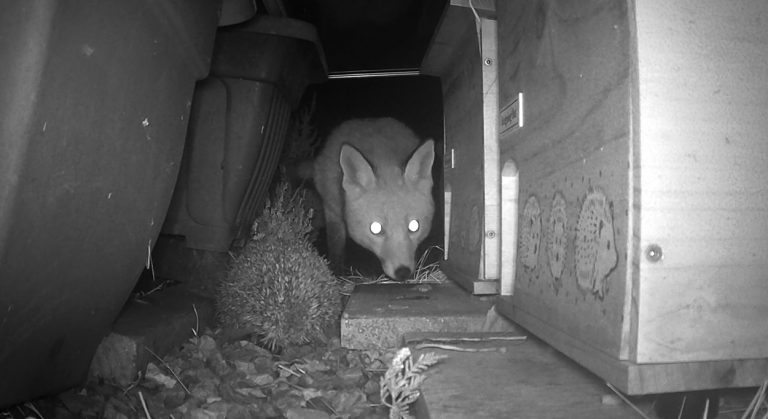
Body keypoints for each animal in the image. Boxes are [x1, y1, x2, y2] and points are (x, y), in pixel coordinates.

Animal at [313, 118, 435, 281]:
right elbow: (336, 246)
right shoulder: (332, 210)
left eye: (414, 226)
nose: (403, 273)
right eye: (375, 228)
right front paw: (337, 273)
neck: (384, 159)